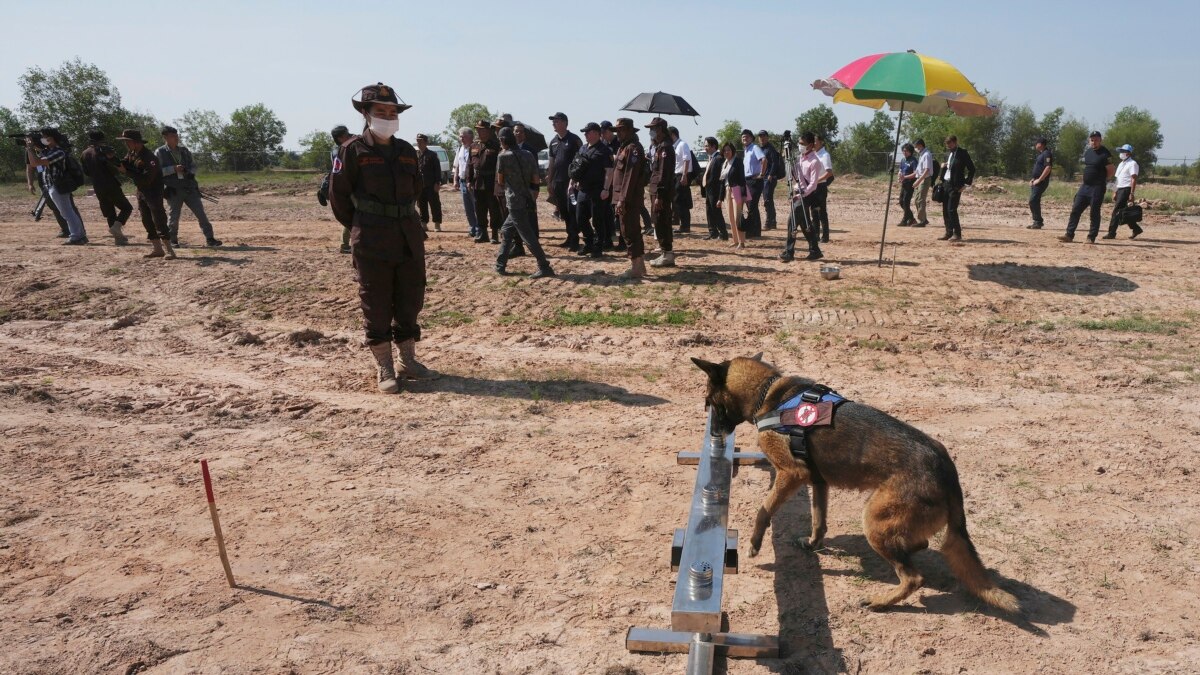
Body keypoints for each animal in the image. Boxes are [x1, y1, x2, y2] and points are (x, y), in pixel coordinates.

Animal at [691, 355, 1017, 612]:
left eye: (709, 402)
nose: (714, 436)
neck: (767, 392)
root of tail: (946, 467)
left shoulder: (792, 474)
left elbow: (764, 510)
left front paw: (755, 544)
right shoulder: (818, 482)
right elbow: (819, 521)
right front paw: (813, 545)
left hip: (873, 520)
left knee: (914, 577)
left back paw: (881, 601)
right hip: (887, 521)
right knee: (919, 544)